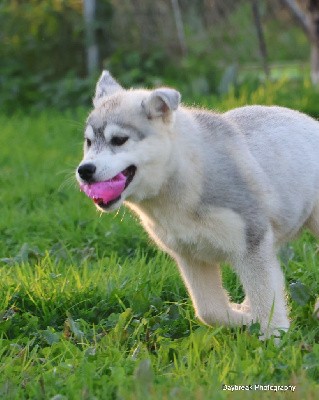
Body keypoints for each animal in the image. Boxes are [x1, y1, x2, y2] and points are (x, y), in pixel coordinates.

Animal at [77, 71, 319, 338]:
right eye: (88, 142)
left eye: (119, 140)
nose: (84, 171)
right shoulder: (189, 255)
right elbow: (209, 311)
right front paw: (244, 318)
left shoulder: (251, 242)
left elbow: (266, 300)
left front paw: (274, 338)